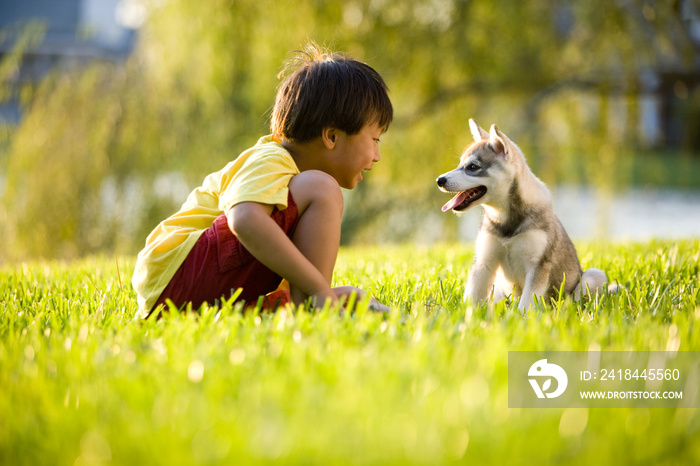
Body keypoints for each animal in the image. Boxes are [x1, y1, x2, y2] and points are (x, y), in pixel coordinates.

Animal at [440, 118, 608, 312]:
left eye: (473, 167)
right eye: (460, 165)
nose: (439, 180)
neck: (505, 219)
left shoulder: (537, 266)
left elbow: (527, 303)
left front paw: (521, 317)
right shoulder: (484, 262)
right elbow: (472, 296)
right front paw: (464, 315)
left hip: (594, 276)